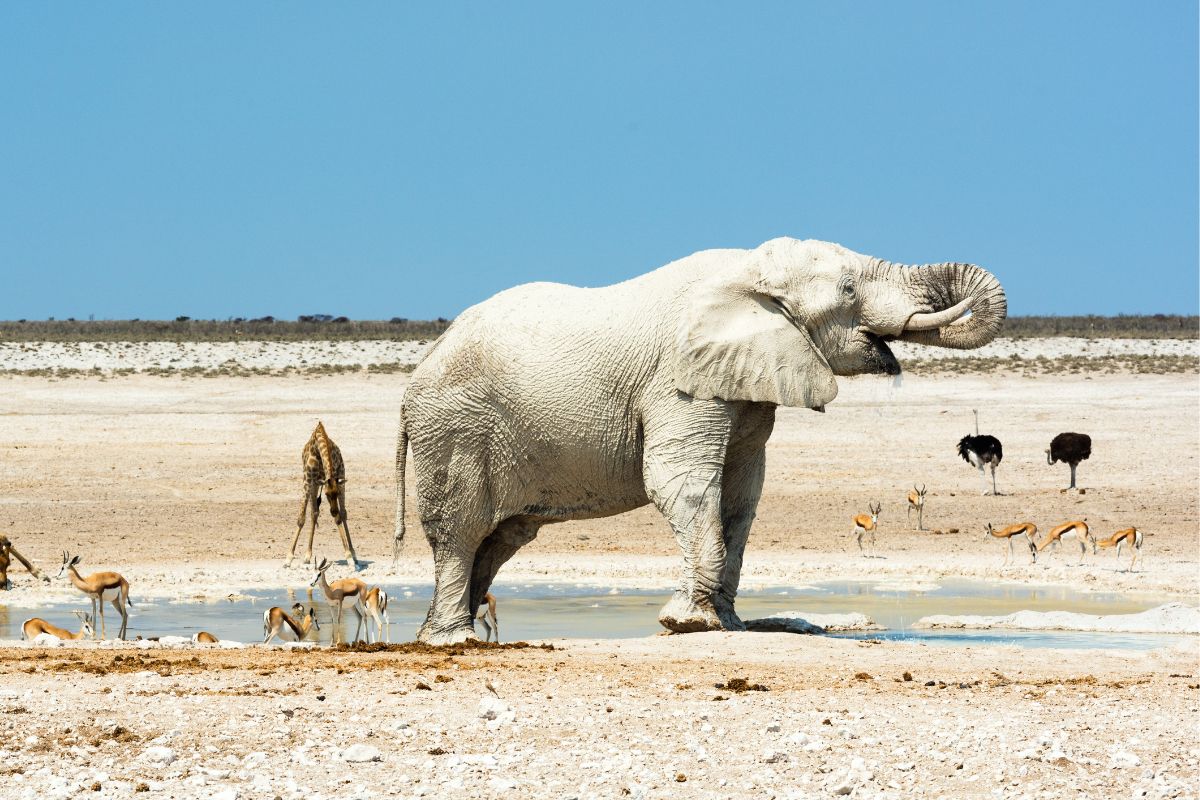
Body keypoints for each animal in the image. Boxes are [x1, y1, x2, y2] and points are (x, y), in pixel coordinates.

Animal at [393, 235, 1003, 642]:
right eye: (849, 289)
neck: (746, 272)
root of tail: (417, 374)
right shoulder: (678, 381)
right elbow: (680, 483)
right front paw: (684, 621)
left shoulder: (746, 384)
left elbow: (741, 496)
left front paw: (727, 623)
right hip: (455, 428)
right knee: (462, 531)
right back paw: (453, 640)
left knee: (502, 539)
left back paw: (443, 634)